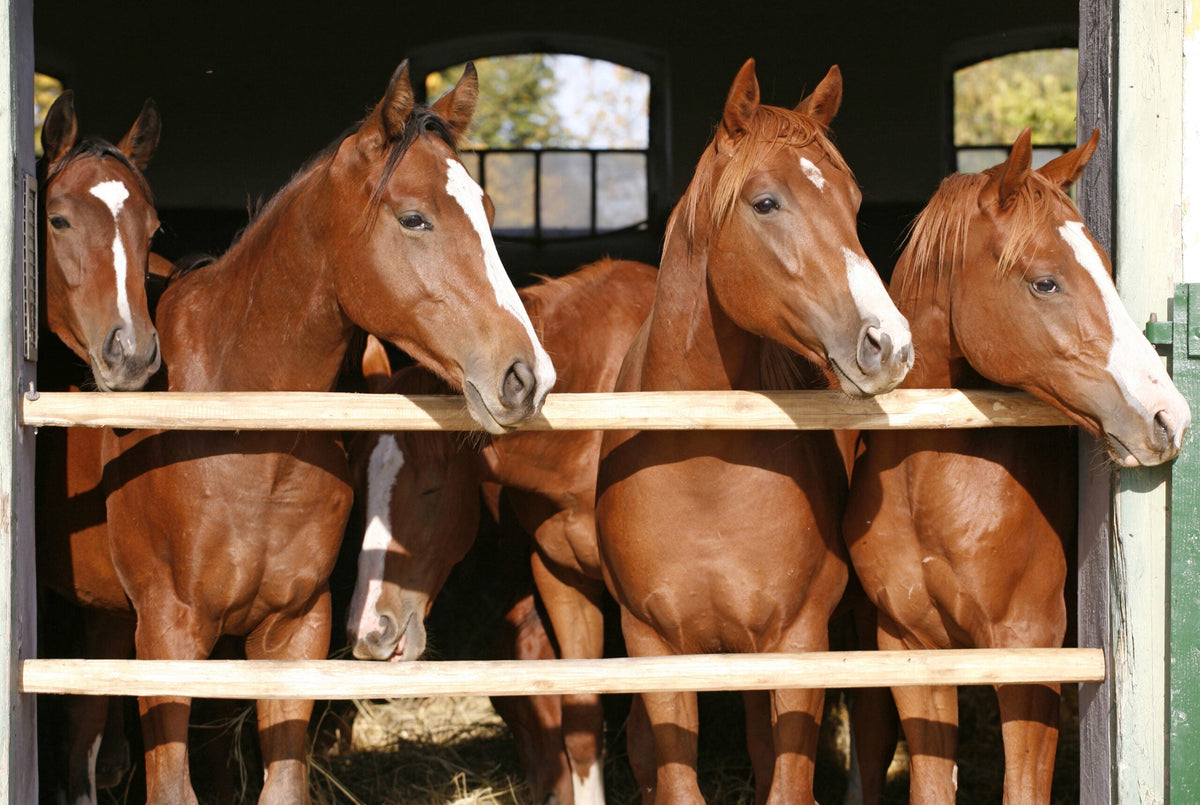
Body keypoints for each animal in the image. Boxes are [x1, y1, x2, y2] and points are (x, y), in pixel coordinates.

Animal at [97, 61, 556, 805]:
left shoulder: (294, 631)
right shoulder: (166, 635)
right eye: (414, 217)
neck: (248, 440)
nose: (528, 374)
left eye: (488, 212)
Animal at [593, 59, 913, 804]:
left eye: (854, 202)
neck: (701, 467)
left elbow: (788, 780)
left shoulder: (799, 641)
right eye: (766, 203)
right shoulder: (654, 645)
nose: (888, 344)